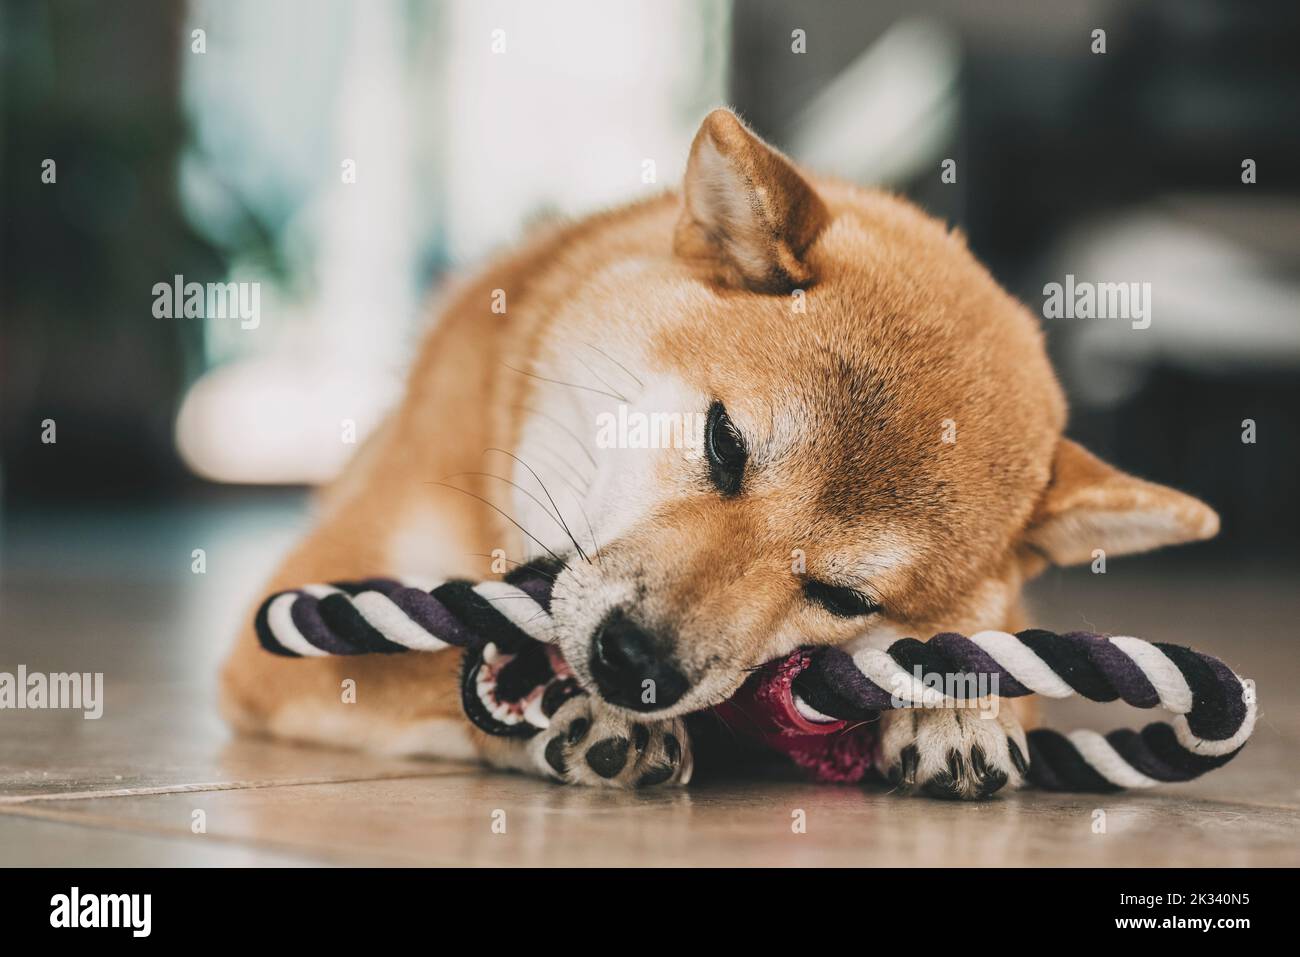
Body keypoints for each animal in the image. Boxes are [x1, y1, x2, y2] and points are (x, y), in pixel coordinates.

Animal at [223, 108, 1216, 800]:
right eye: (724, 443)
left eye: (845, 596)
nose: (634, 664)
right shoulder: (287, 626)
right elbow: (424, 668)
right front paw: (577, 713)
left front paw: (957, 704)